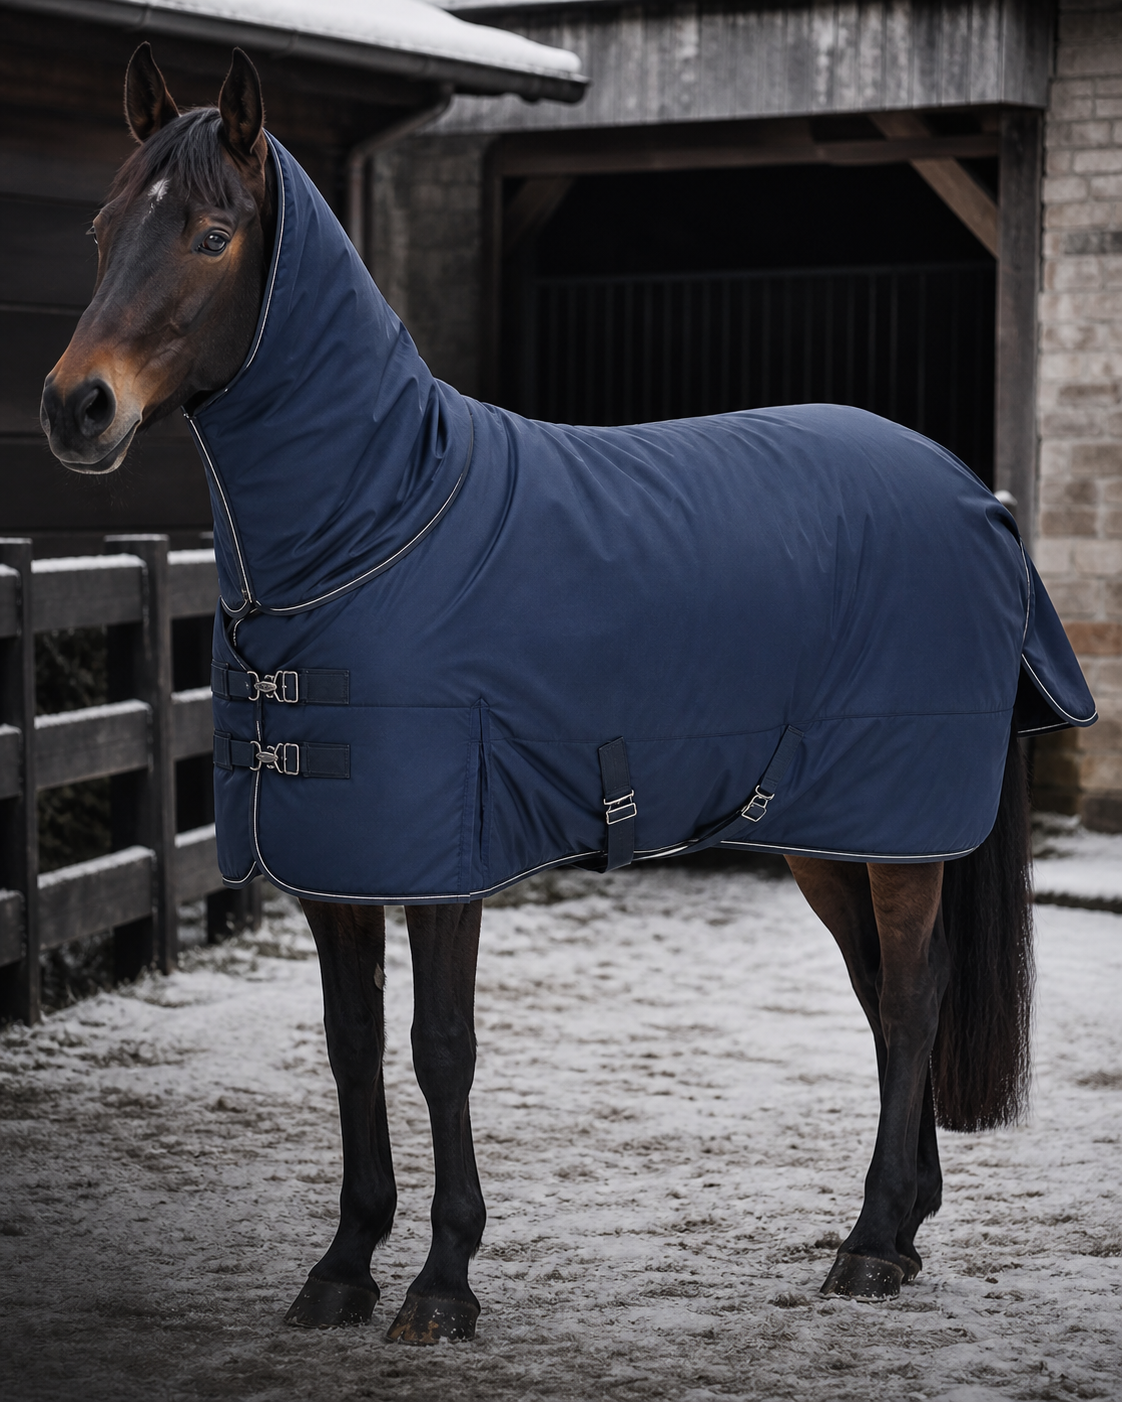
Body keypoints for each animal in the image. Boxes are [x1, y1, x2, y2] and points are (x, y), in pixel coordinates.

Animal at [40, 46, 1095, 1344]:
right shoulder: (336, 865)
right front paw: (342, 1267)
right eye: (99, 229)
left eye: (211, 233)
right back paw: (902, 1224)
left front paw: (443, 1283)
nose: (76, 407)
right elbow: (349, 1047)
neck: (383, 523)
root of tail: (977, 495)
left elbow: (440, 1047)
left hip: (898, 822)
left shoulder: (446, 862)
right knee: (888, 990)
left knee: (910, 994)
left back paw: (870, 1245)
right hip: (827, 826)